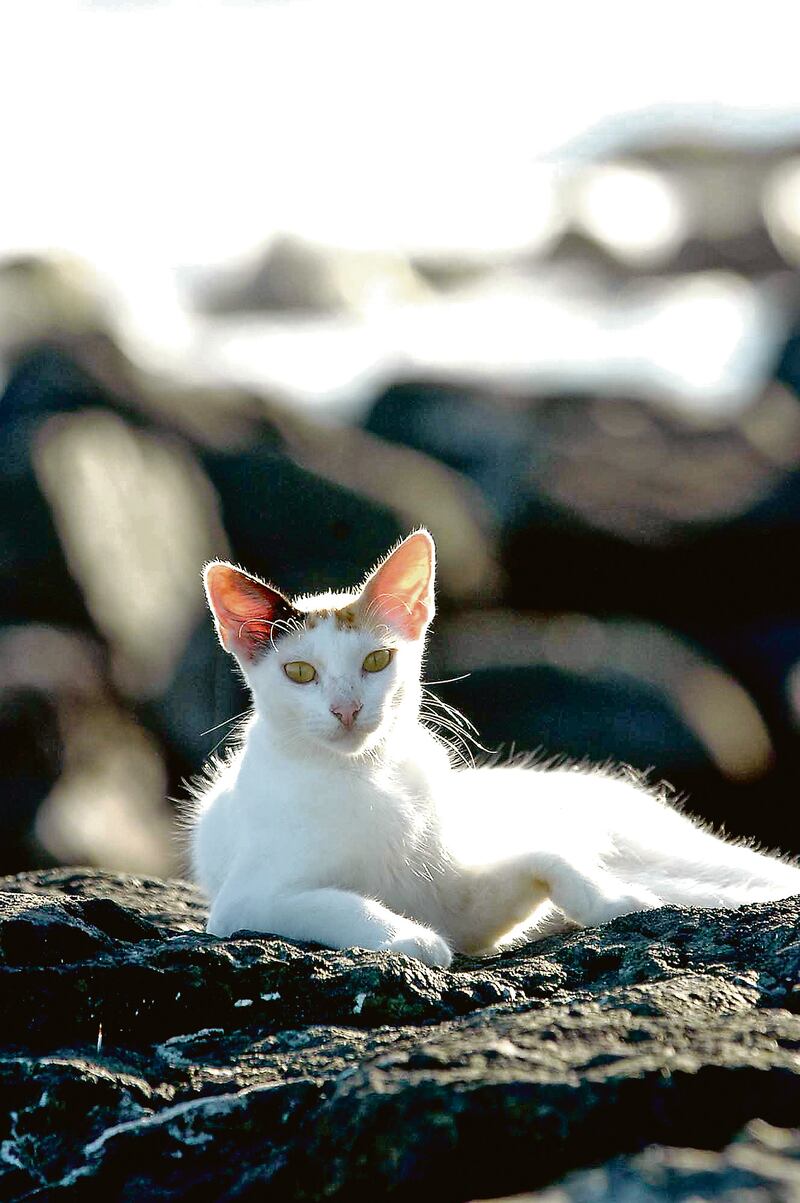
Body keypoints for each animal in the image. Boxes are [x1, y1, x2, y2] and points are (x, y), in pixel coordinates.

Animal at [188, 529, 798, 967]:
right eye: (299, 673)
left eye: (376, 661)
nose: (346, 710)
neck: (368, 776)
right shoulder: (247, 902)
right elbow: (335, 903)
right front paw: (411, 939)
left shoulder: (463, 897)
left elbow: (549, 855)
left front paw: (617, 902)